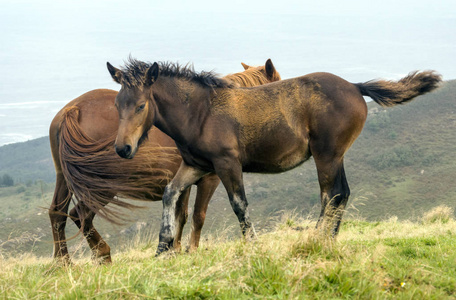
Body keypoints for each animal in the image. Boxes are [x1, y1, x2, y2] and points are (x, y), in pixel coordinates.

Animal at [48, 58, 280, 262]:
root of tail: (73, 109)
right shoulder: (210, 179)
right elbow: (198, 215)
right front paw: (189, 250)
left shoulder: (184, 181)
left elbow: (180, 215)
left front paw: (173, 249)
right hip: (102, 186)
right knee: (81, 214)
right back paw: (102, 254)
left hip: (65, 179)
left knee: (58, 213)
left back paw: (63, 263)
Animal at [107, 57, 442, 254]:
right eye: (117, 105)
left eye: (141, 105)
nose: (123, 149)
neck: (201, 113)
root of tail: (355, 86)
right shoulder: (196, 166)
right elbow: (170, 194)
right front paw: (162, 248)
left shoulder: (226, 164)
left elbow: (239, 205)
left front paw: (253, 246)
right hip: (335, 155)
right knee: (342, 193)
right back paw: (329, 238)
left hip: (327, 154)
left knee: (331, 193)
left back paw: (316, 239)